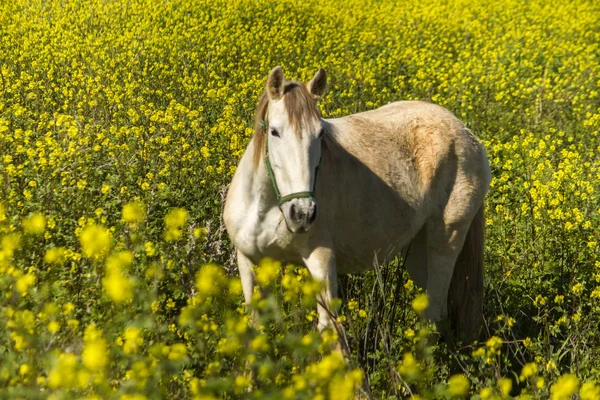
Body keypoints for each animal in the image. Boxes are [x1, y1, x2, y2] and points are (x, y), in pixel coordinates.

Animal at [223, 66, 490, 346]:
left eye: (320, 133)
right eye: (274, 131)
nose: (303, 214)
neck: (266, 208)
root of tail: (464, 131)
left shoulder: (320, 257)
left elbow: (330, 329)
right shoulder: (249, 261)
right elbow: (255, 327)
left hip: (445, 243)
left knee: (433, 313)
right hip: (419, 252)